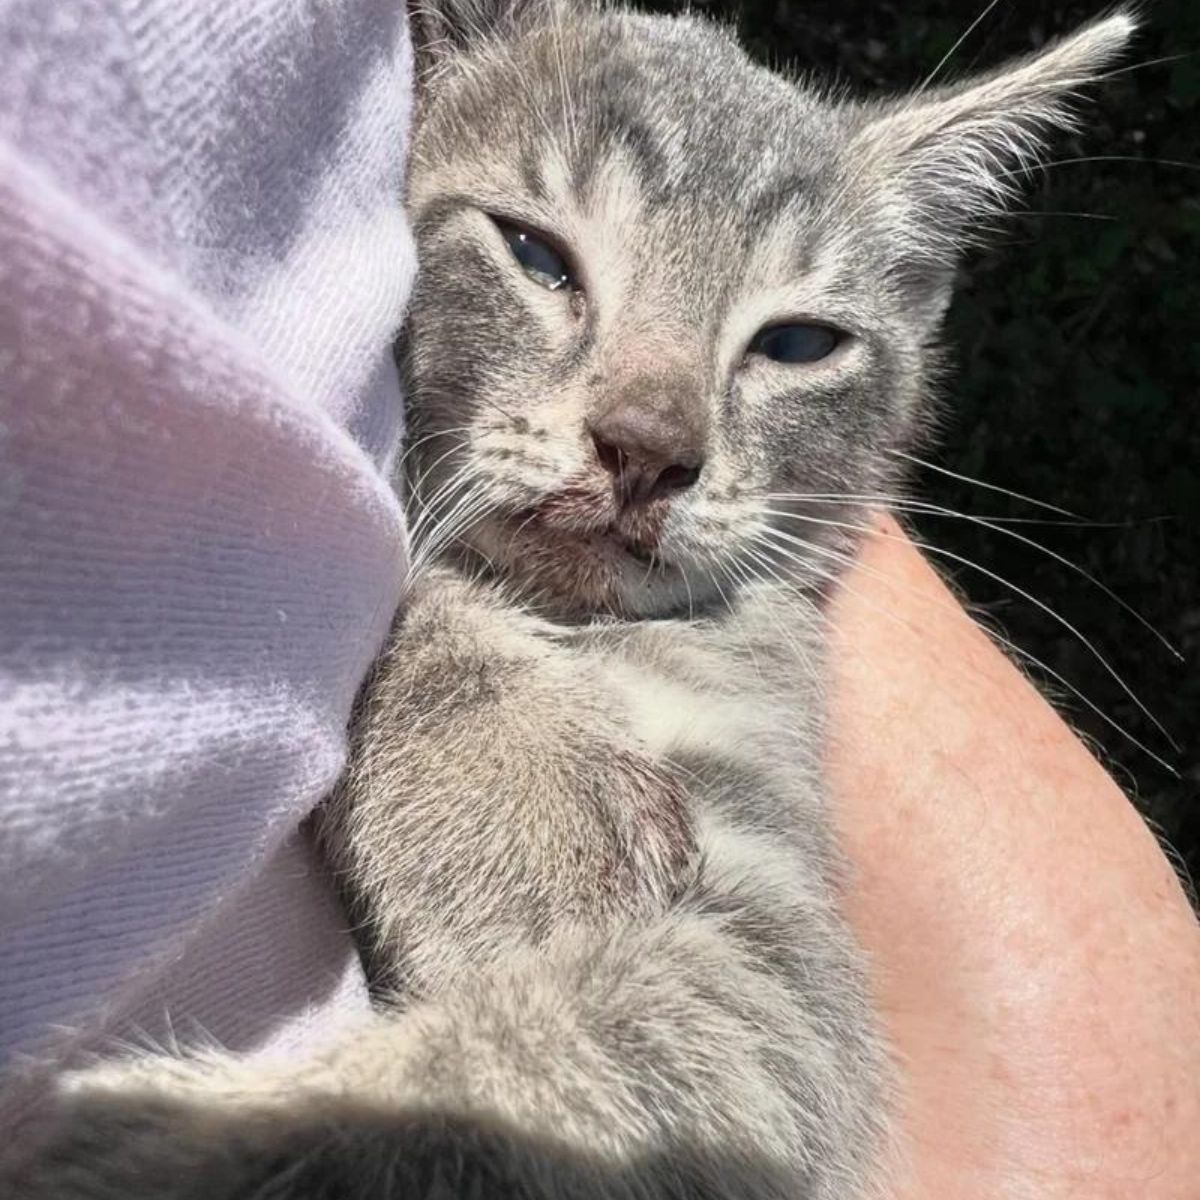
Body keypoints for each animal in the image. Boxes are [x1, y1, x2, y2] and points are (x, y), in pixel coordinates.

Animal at [7, 2, 1132, 1200]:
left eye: (798, 343)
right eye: (536, 254)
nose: (648, 450)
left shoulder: (780, 956)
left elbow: (578, 1082)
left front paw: (170, 1146)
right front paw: (517, 784)